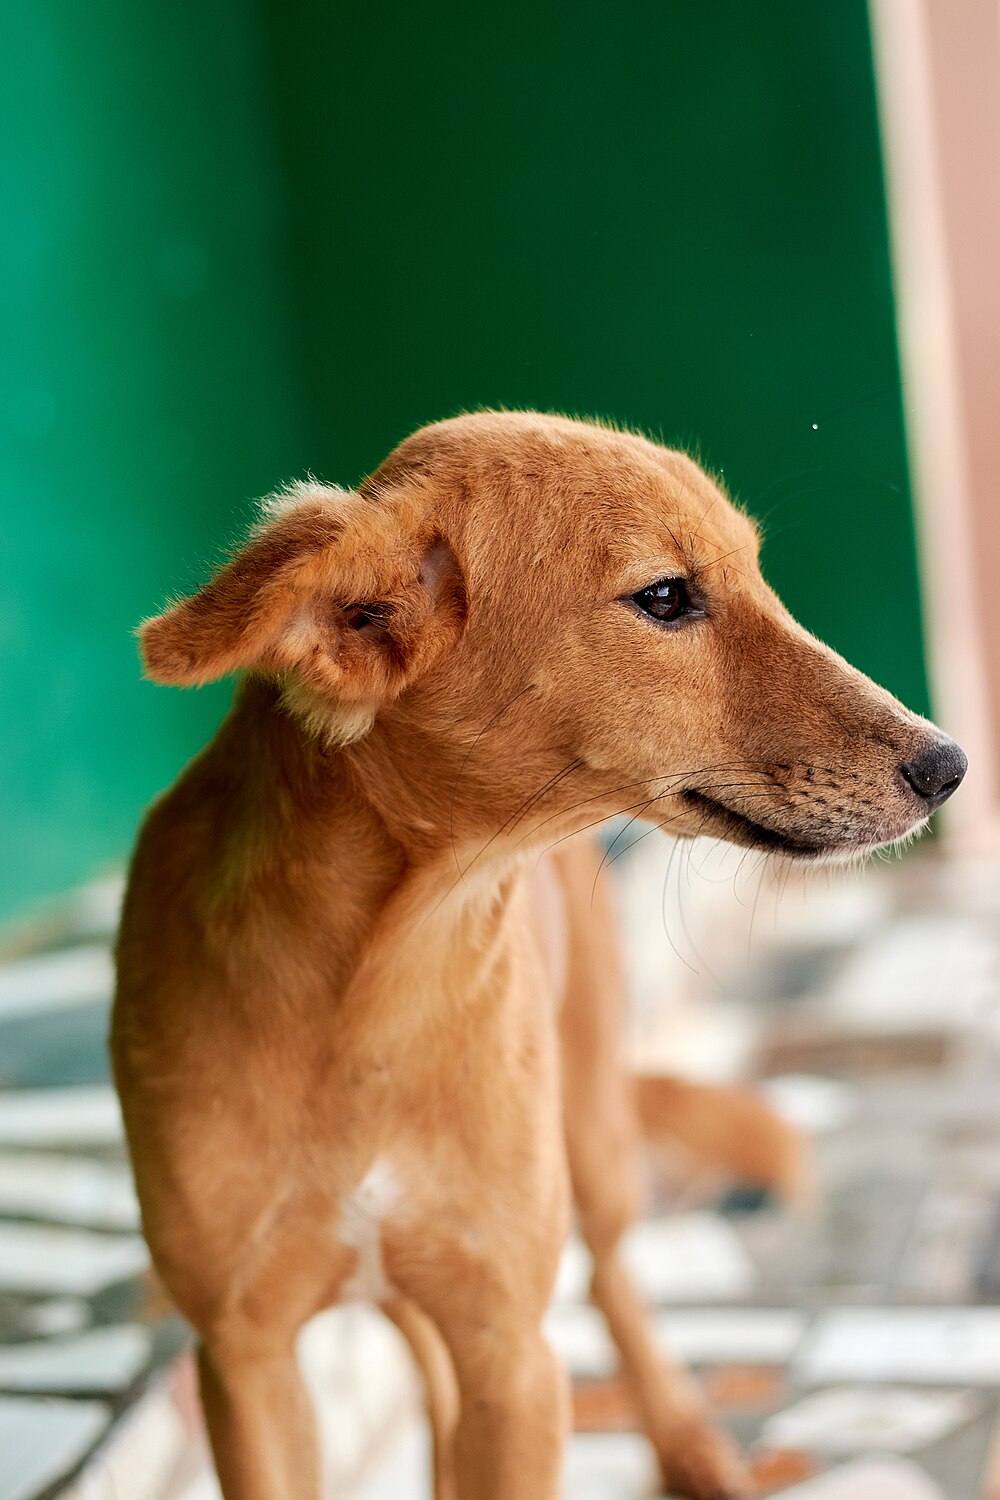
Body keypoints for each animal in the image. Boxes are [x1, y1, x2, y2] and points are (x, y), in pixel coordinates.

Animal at [113, 411, 965, 1500]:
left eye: (757, 571)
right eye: (664, 597)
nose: (950, 766)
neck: (374, 991)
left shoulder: (509, 1351)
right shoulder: (246, 1362)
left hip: (592, 1141)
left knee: (614, 1282)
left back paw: (690, 1444)